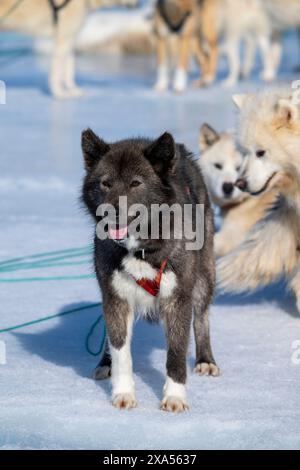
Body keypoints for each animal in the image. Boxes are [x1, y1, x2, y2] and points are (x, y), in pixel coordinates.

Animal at [0, 0, 136, 98]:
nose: (137, 4)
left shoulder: (70, 39)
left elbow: (69, 70)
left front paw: (72, 90)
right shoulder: (63, 39)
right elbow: (56, 73)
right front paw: (59, 93)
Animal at [81, 129, 219, 412]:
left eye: (135, 183)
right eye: (105, 183)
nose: (112, 212)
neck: (140, 249)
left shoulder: (177, 301)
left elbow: (176, 354)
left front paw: (175, 397)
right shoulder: (116, 298)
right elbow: (121, 351)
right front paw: (123, 394)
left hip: (203, 280)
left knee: (201, 319)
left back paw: (205, 360)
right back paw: (104, 364)